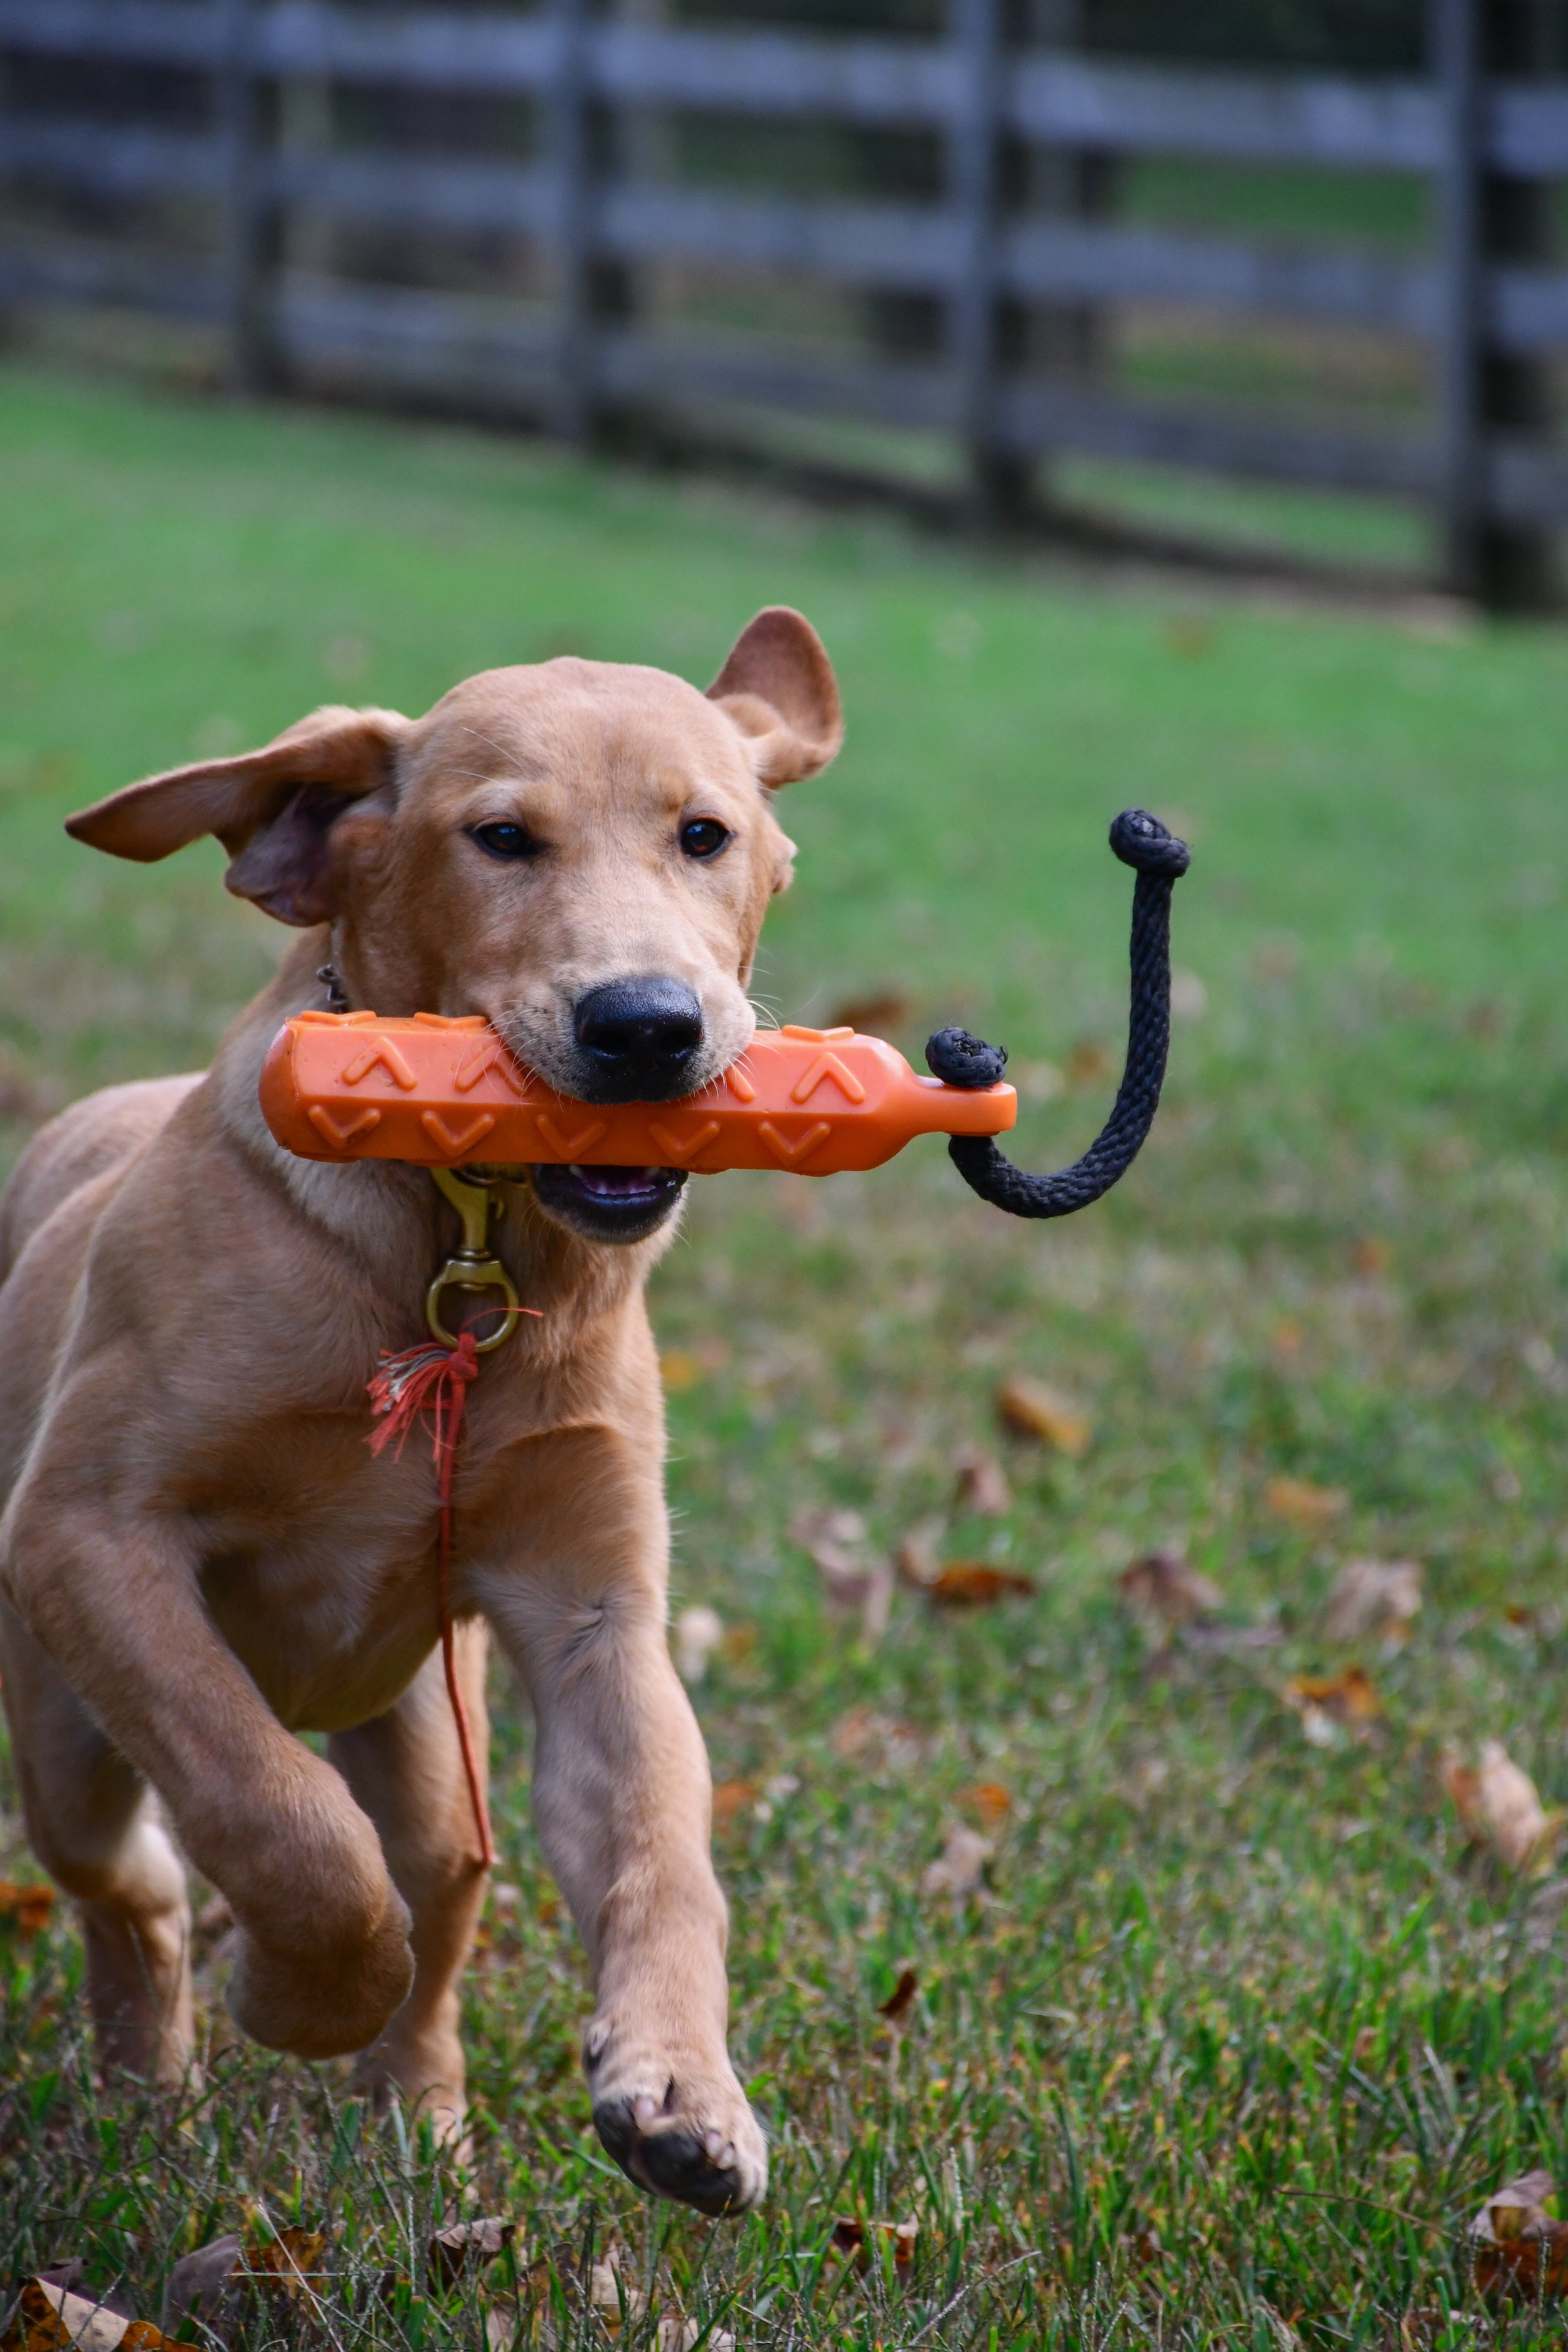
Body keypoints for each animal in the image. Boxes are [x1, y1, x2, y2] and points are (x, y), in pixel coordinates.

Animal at [0, 612, 846, 2220]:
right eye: (500, 837)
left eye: (704, 834)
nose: (647, 1027)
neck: (462, 1251)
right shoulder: (91, 1535)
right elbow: (277, 1817)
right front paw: (298, 1993)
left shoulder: (594, 1614)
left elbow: (665, 1859)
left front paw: (686, 2094)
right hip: (66, 1727)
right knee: (137, 1883)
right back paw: (151, 2089)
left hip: (430, 1736)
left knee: (443, 1884)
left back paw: (422, 2126)